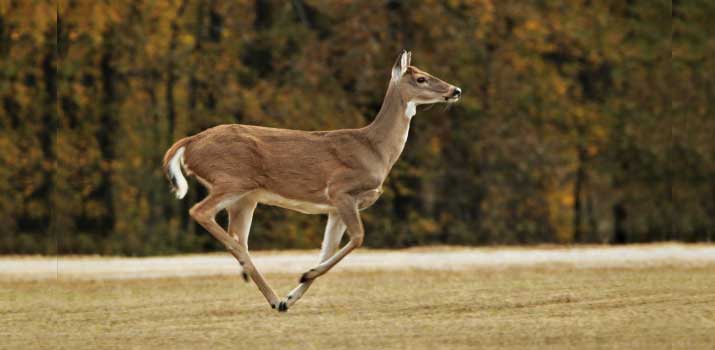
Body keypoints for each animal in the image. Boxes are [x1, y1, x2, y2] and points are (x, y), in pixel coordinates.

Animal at [162, 50, 462, 312]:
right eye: (421, 78)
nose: (455, 90)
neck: (375, 149)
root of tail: (189, 143)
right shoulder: (341, 191)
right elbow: (358, 238)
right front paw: (304, 275)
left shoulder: (334, 207)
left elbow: (327, 249)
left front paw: (295, 291)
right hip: (231, 178)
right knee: (201, 213)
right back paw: (263, 286)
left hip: (246, 197)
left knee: (237, 234)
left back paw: (273, 297)